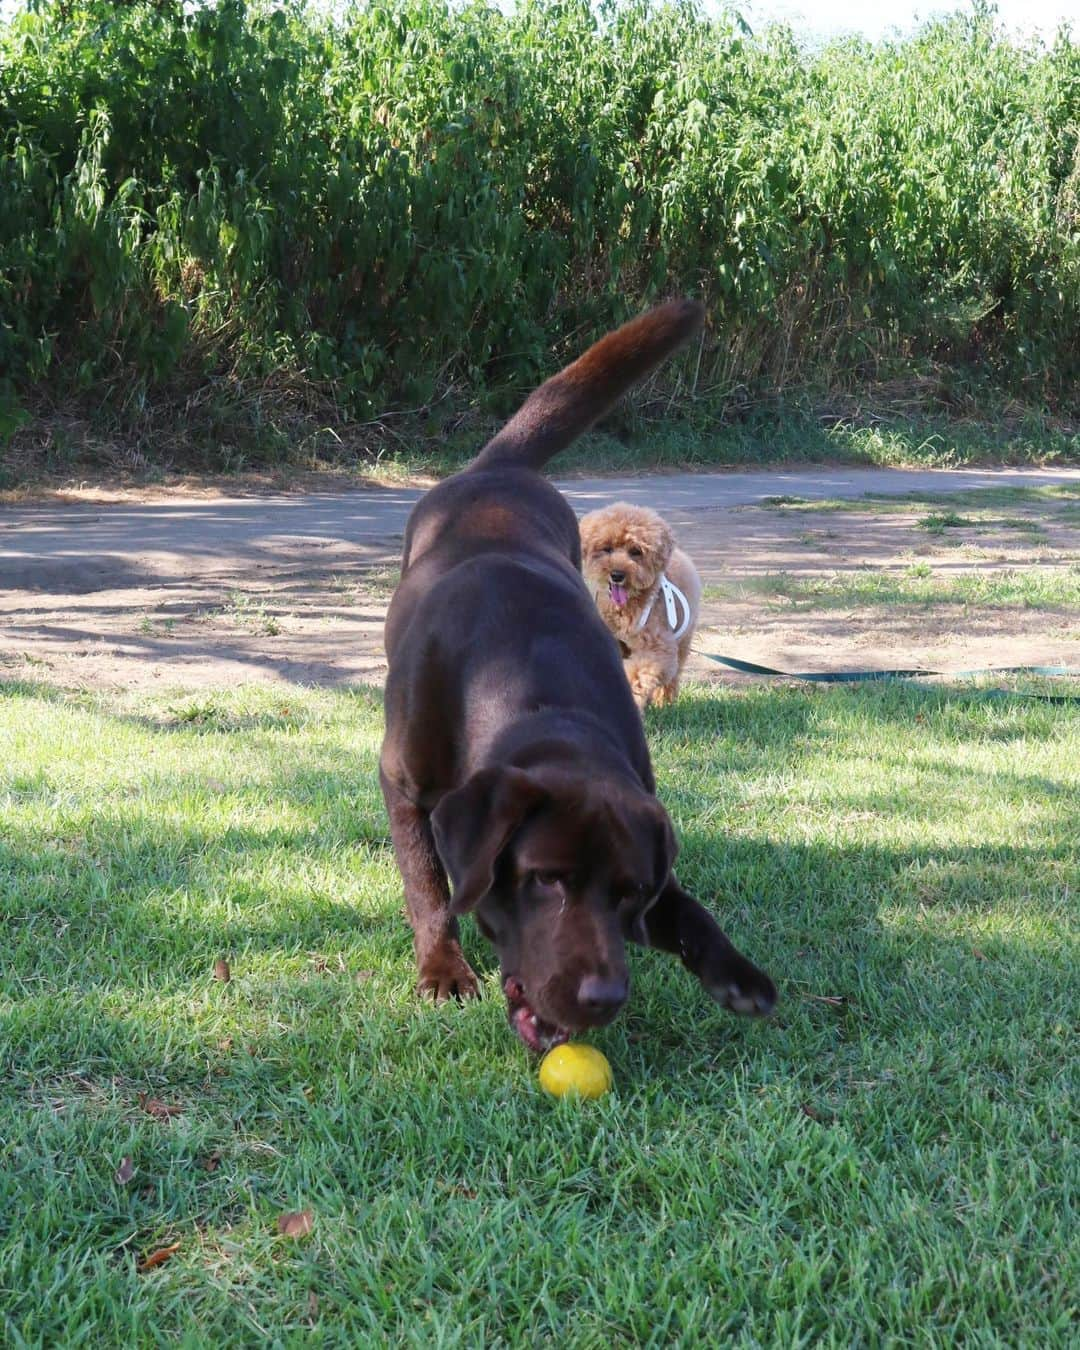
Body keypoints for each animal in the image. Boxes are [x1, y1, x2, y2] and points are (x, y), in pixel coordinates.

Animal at [577, 496, 702, 707]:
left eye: (635, 551)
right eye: (606, 549)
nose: (617, 575)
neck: (624, 608)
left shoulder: (656, 648)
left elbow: (638, 675)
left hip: (683, 640)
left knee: (673, 675)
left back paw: (664, 702)